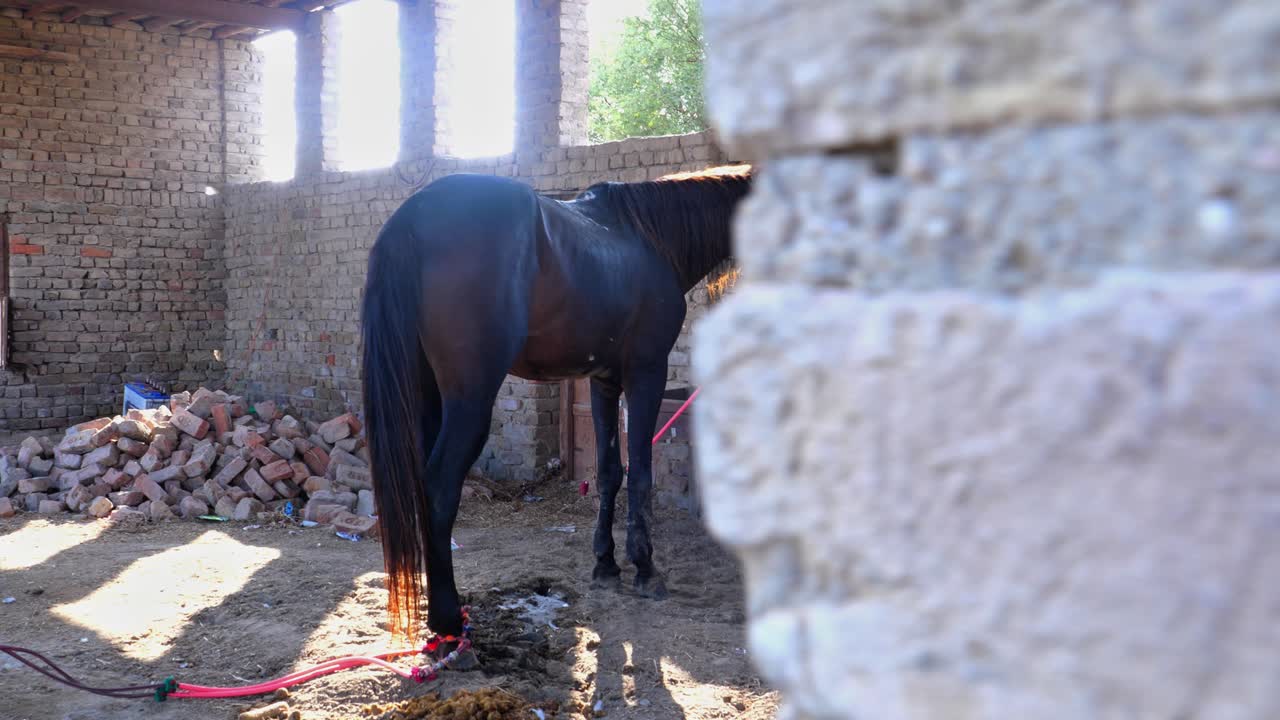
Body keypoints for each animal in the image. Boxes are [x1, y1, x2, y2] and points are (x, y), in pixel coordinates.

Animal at [360, 165, 752, 650]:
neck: (650, 239)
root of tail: (410, 218)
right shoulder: (647, 374)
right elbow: (641, 473)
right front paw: (645, 570)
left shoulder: (604, 382)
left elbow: (609, 473)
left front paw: (606, 566)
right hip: (470, 399)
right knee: (439, 486)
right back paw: (448, 619)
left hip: (426, 394)